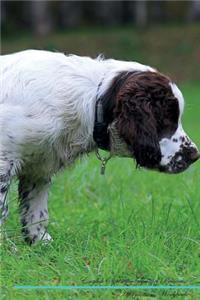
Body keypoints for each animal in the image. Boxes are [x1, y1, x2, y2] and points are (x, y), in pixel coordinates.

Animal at [0, 50, 200, 244]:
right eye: (167, 119)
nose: (195, 155)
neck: (92, 101)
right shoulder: (5, 162)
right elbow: (4, 209)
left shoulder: (39, 168)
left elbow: (37, 211)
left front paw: (40, 242)